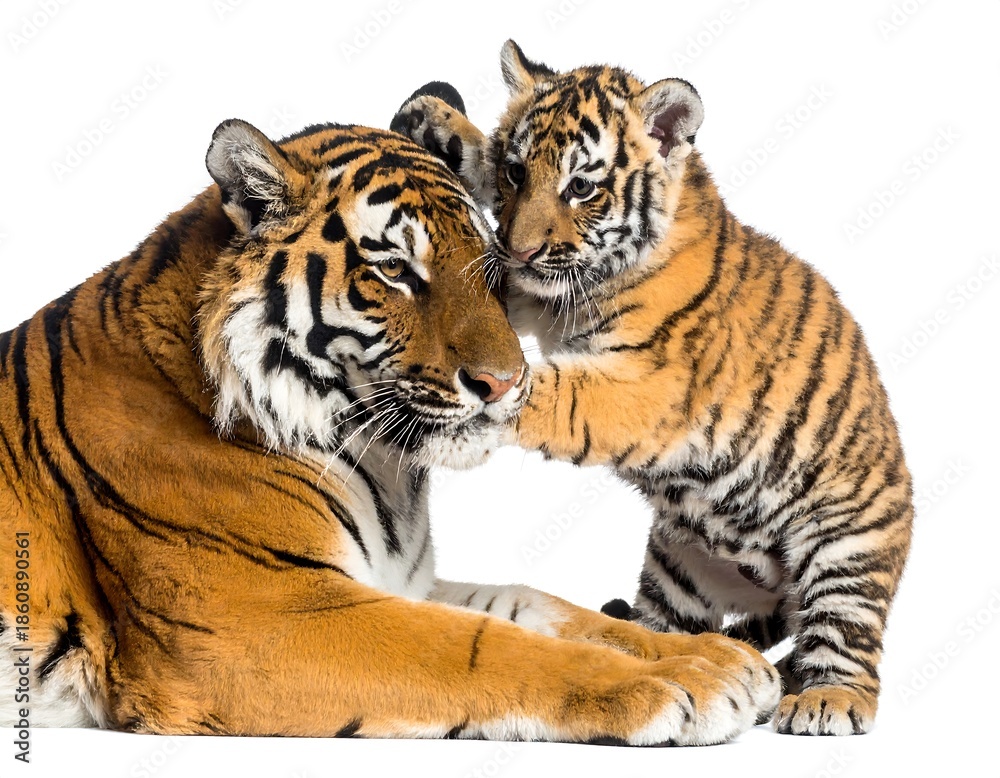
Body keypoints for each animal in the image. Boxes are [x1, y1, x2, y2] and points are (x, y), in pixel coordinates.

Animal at [0, 118, 781, 742]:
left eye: (492, 271)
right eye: (397, 270)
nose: (508, 385)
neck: (379, 464)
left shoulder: (395, 578)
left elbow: (536, 604)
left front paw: (714, 655)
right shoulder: (257, 619)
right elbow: (481, 645)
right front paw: (682, 683)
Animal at [391, 40, 914, 736]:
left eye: (581, 187)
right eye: (515, 172)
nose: (517, 250)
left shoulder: (644, 384)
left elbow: (552, 391)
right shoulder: (532, 293)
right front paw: (438, 122)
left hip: (847, 552)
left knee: (847, 643)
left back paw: (826, 699)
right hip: (679, 564)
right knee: (676, 623)